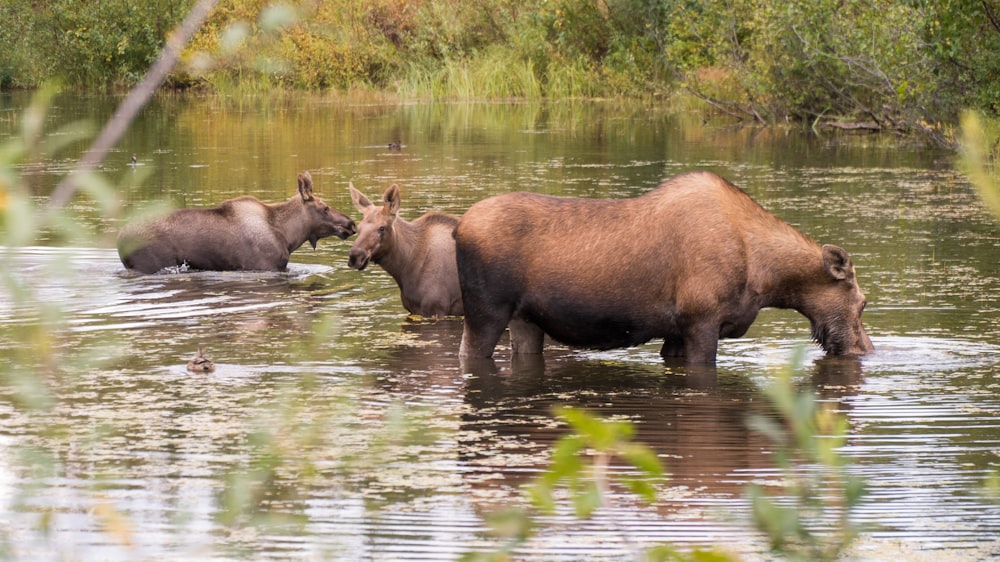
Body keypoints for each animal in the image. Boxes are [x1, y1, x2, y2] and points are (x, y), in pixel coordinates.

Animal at [119, 172, 358, 274]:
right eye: (325, 208)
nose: (352, 224)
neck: (289, 236)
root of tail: (119, 241)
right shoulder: (265, 266)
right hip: (149, 265)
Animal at [348, 183, 464, 318]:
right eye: (358, 227)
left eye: (382, 228)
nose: (355, 256)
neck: (404, 268)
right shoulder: (413, 310)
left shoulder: (437, 309)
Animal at [454, 171, 876, 364]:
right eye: (862, 302)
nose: (864, 349)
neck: (766, 278)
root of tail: (459, 228)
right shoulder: (701, 320)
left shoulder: (676, 331)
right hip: (486, 311)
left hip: (526, 320)